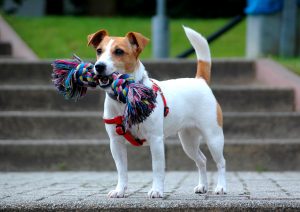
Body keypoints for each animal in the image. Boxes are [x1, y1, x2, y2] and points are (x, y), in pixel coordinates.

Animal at [88, 26, 226, 199]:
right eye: (99, 51)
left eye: (119, 51)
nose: (98, 66)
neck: (126, 96)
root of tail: (200, 80)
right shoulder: (115, 142)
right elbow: (122, 170)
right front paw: (120, 190)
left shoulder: (156, 140)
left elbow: (158, 169)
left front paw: (157, 190)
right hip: (188, 141)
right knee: (201, 160)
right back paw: (202, 186)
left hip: (213, 137)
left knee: (221, 162)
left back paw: (220, 187)